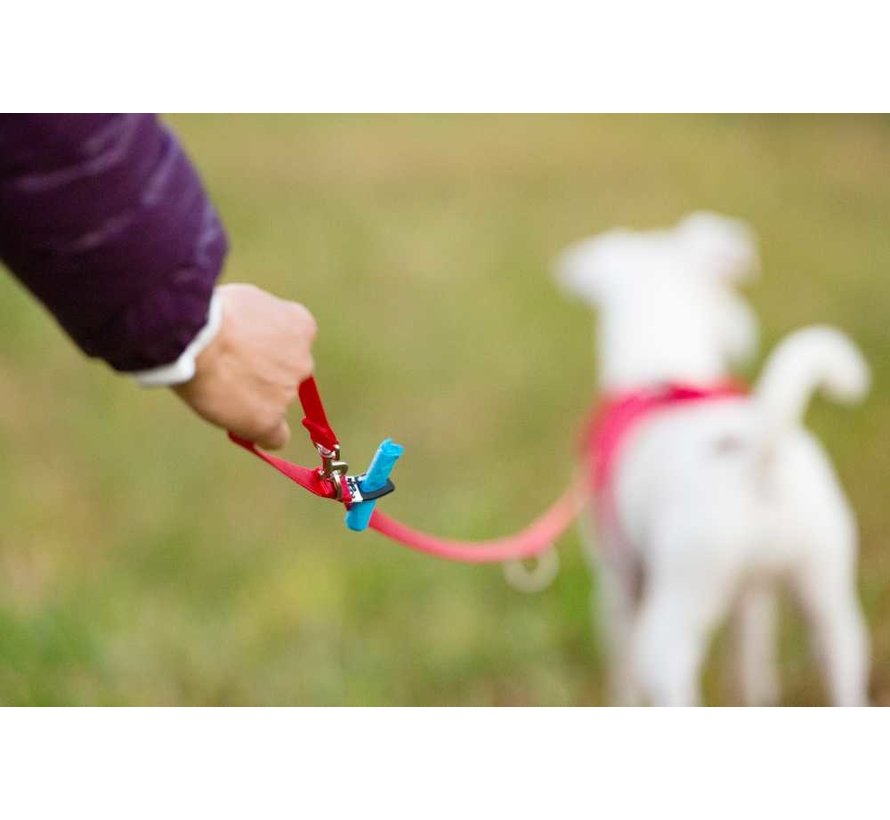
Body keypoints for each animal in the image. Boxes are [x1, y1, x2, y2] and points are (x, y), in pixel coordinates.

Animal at [560, 213, 864, 704]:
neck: (662, 365)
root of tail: (761, 454)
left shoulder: (618, 584)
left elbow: (622, 673)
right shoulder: (753, 598)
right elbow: (753, 665)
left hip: (672, 627)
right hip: (830, 605)